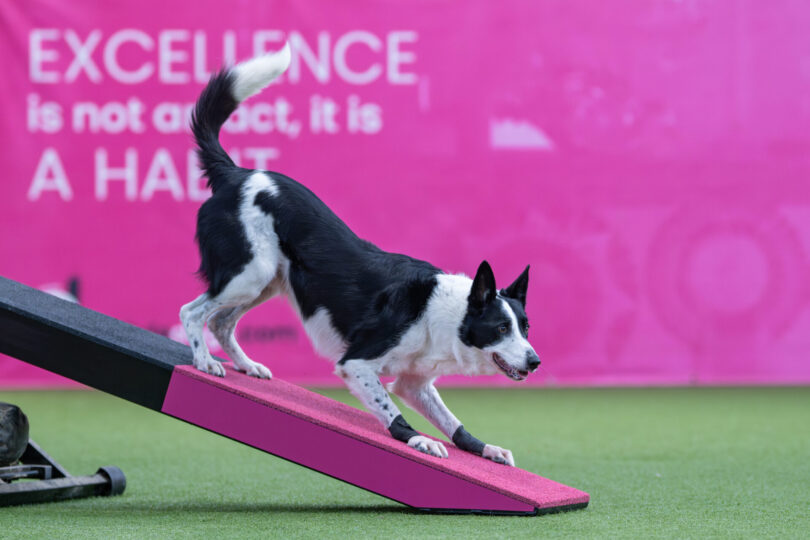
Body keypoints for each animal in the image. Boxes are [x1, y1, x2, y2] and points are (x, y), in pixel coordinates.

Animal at [180, 44, 540, 466]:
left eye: (526, 328)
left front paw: (486, 448)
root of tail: (236, 174)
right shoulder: (356, 363)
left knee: (222, 322)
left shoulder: (415, 382)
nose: (535, 361)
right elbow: (391, 411)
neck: (445, 314)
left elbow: (454, 424)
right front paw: (418, 441)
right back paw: (204, 360)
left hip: (267, 281)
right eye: (500, 328)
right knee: (192, 313)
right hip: (249, 273)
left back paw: (246, 365)